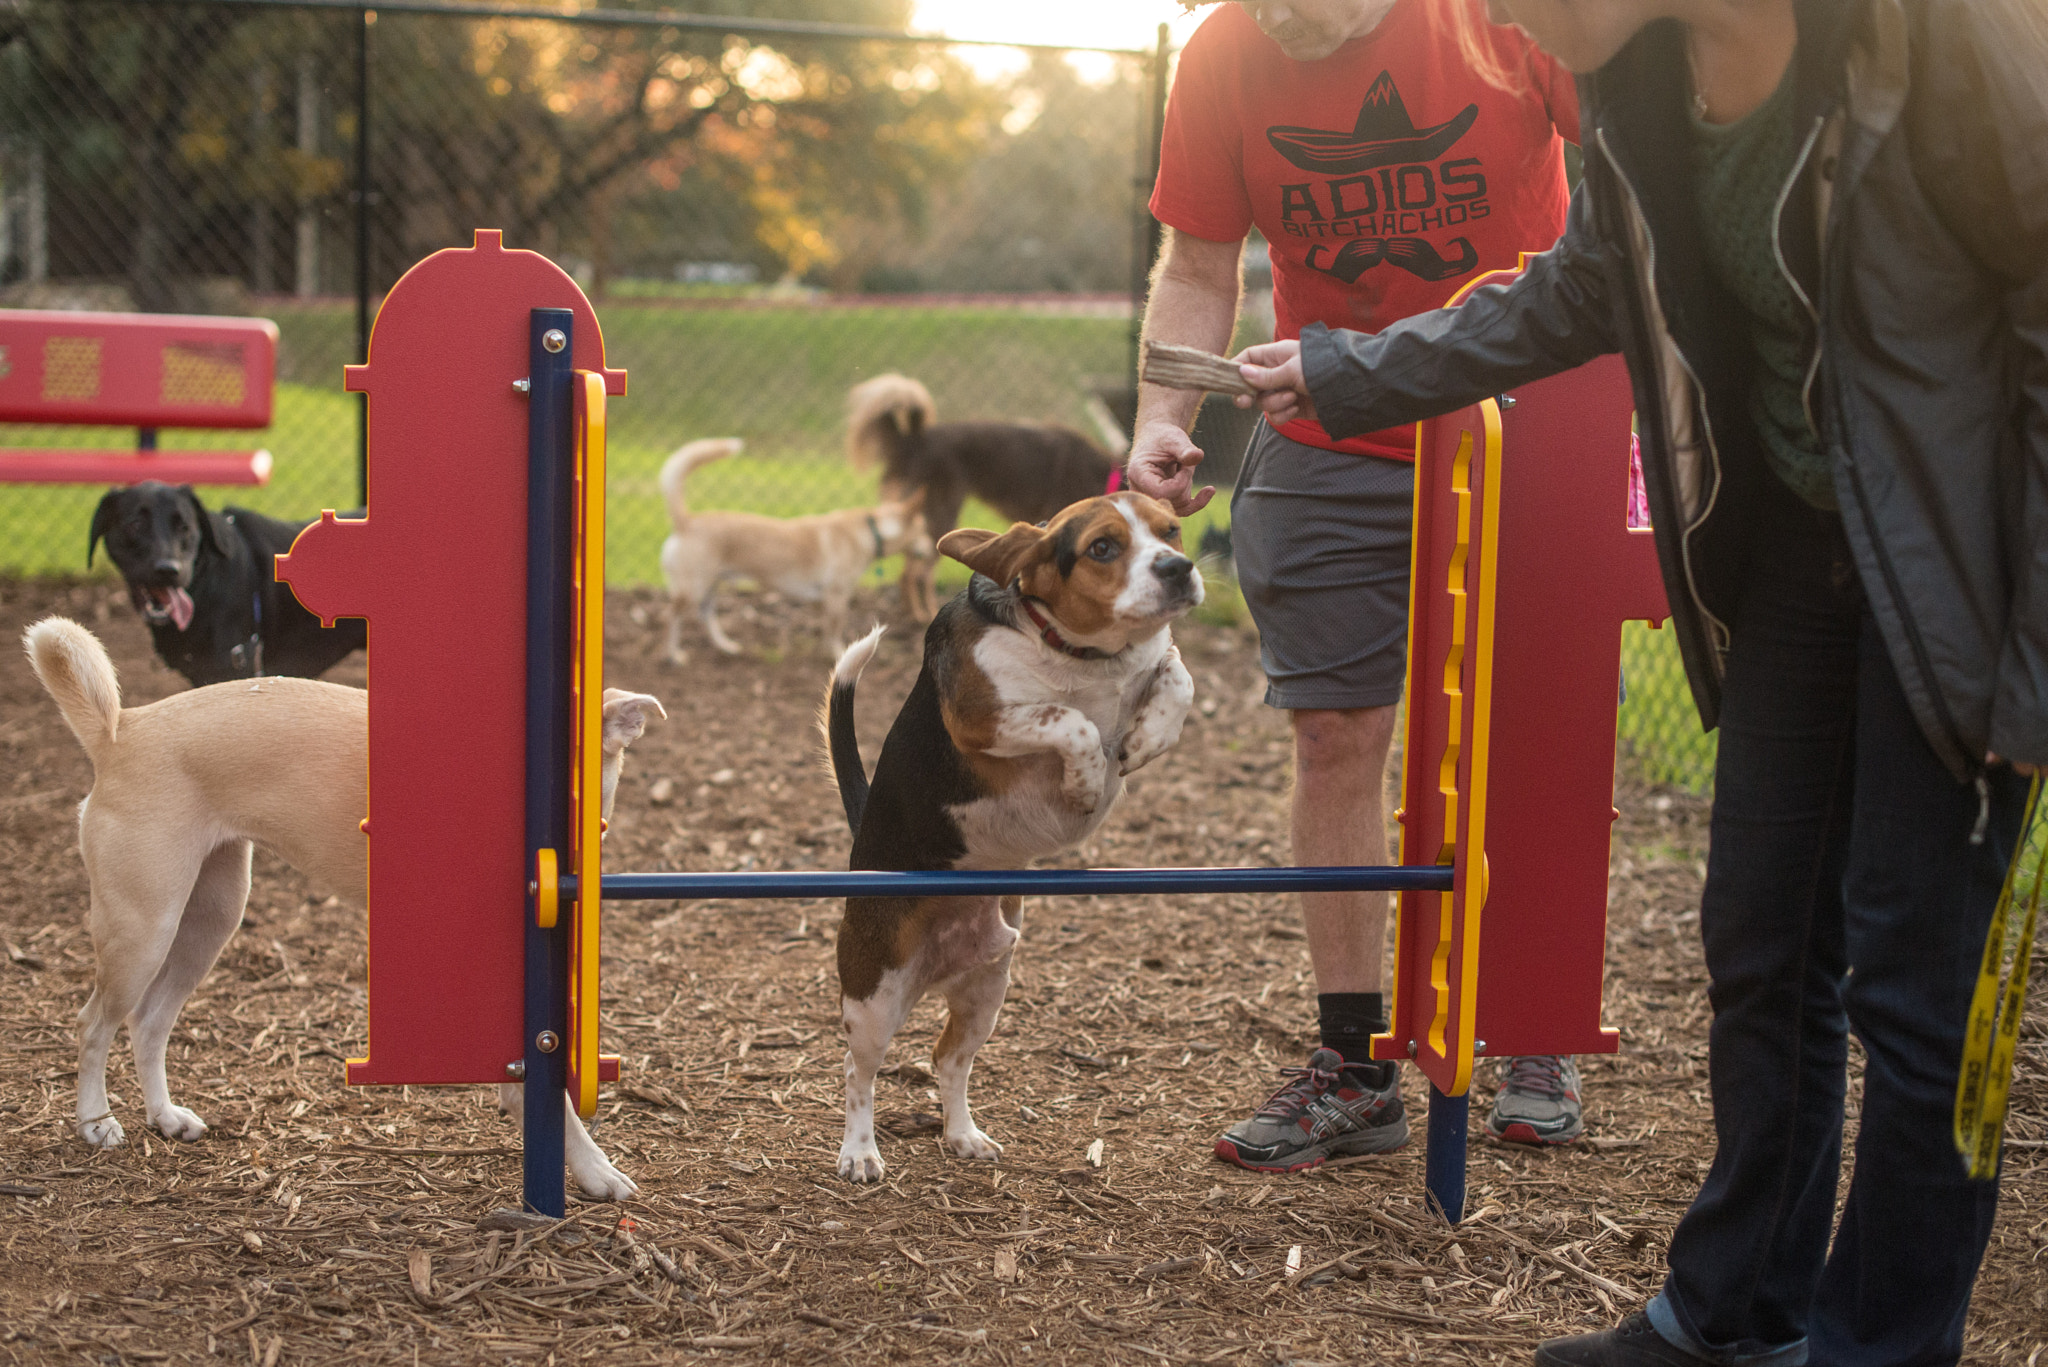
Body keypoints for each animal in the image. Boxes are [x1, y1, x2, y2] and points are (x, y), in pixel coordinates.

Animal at [25, 618, 663, 1196]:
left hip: (208, 921)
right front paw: (592, 1167)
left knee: (149, 1022)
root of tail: (122, 731)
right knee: (93, 1024)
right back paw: (95, 1122)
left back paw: (164, 1117)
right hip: (144, 928)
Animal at [659, 432, 933, 655]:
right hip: (693, 588)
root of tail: (685, 521)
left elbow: (824, 629)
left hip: (710, 585)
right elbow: (835, 629)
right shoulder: (837, 595)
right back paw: (674, 655)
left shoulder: (820, 599)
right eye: (923, 530)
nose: (931, 547)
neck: (871, 529)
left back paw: (725, 646)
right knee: (670, 616)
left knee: (705, 615)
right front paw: (838, 653)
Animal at [815, 498, 1196, 1180]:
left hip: (986, 992)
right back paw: (859, 1152)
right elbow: (1069, 720)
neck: (1088, 656)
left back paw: (963, 1135)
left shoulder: (1156, 661)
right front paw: (1087, 780)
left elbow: (1177, 674)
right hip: (875, 997)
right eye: (1102, 548)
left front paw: (1147, 737)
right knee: (860, 1074)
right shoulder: (983, 720)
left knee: (947, 1059)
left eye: (1170, 530)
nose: (1180, 568)